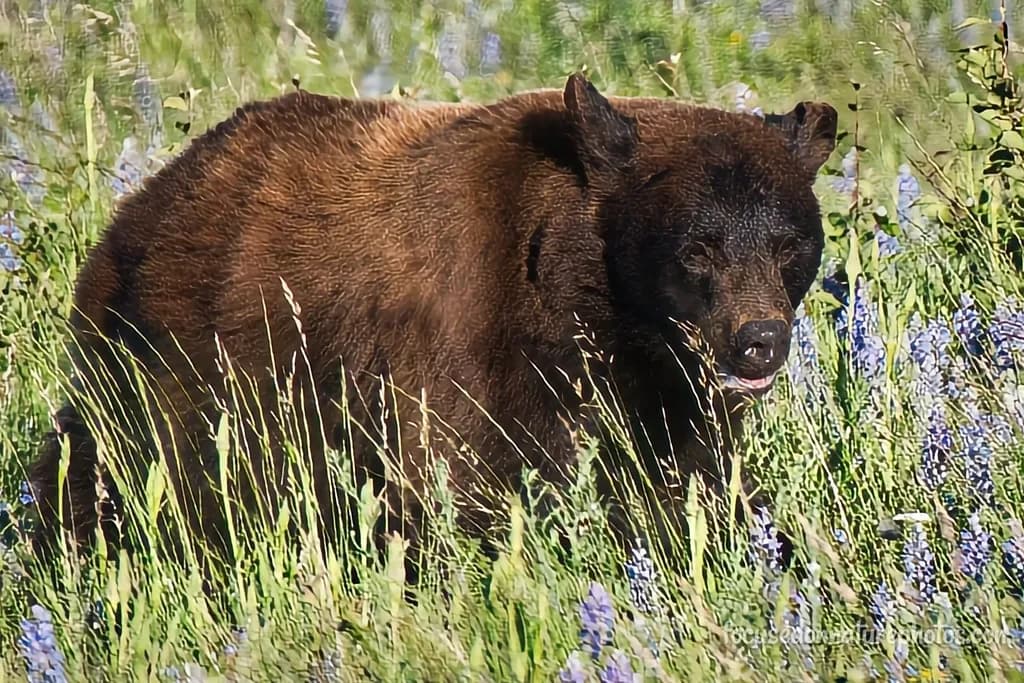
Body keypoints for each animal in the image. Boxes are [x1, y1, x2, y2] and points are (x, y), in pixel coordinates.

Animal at [27, 73, 837, 576]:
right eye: (698, 248)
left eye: (789, 245)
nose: (759, 341)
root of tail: (140, 203)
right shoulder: (465, 346)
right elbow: (468, 483)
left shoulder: (661, 391)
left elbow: (695, 485)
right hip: (172, 362)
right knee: (119, 468)